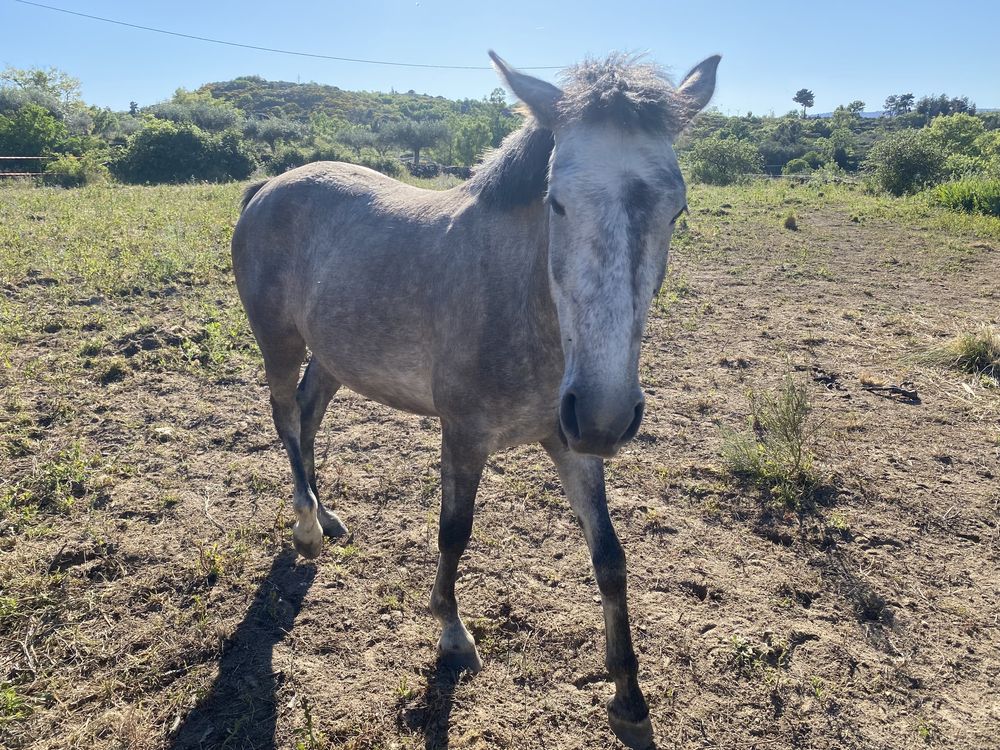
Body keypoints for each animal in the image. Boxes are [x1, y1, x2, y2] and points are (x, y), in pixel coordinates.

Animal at [234, 50, 720, 748]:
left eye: (676, 211)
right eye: (556, 202)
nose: (607, 414)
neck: (524, 305)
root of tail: (268, 187)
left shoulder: (572, 442)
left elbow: (610, 557)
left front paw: (630, 701)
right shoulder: (464, 434)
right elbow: (454, 533)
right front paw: (451, 633)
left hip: (332, 356)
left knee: (306, 415)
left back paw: (325, 515)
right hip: (279, 340)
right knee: (284, 418)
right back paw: (306, 528)